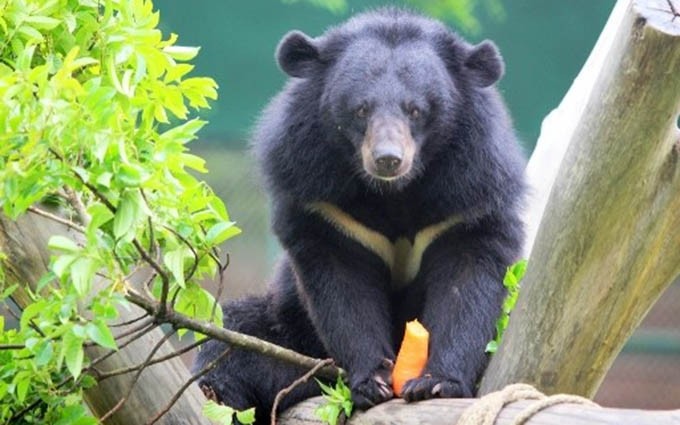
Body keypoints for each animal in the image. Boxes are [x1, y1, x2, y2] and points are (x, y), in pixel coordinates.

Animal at [195, 6, 524, 420]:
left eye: (416, 110)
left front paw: (435, 382)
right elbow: (343, 287)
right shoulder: (322, 198)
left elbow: (466, 281)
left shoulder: (468, 193)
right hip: (293, 332)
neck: (393, 192)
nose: (387, 159)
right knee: (231, 341)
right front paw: (375, 380)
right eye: (360, 109)